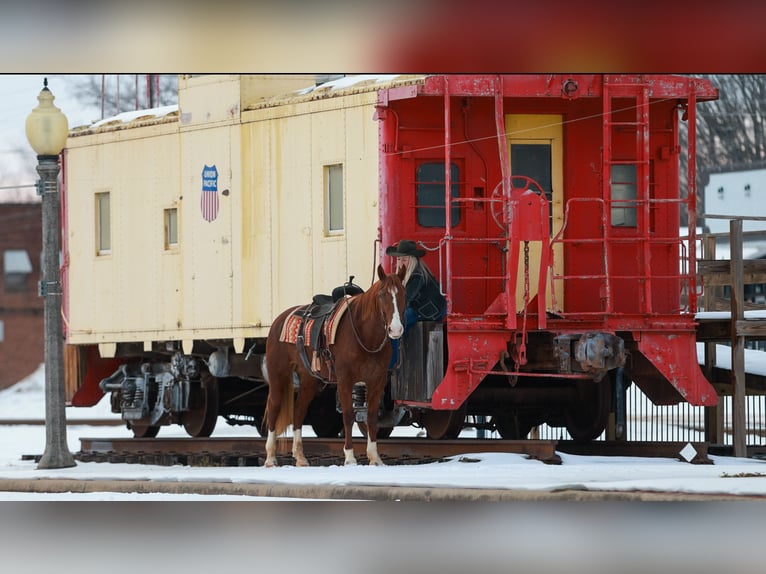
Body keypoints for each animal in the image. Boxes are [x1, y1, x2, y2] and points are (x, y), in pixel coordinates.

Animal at [263, 263, 407, 466]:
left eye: (403, 293)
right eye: (381, 294)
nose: (396, 329)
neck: (364, 334)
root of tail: (278, 320)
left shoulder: (377, 380)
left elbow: (371, 417)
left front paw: (375, 458)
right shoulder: (345, 379)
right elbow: (348, 415)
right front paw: (350, 458)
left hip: (309, 380)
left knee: (298, 411)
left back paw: (300, 457)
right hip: (278, 375)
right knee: (274, 408)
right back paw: (270, 458)